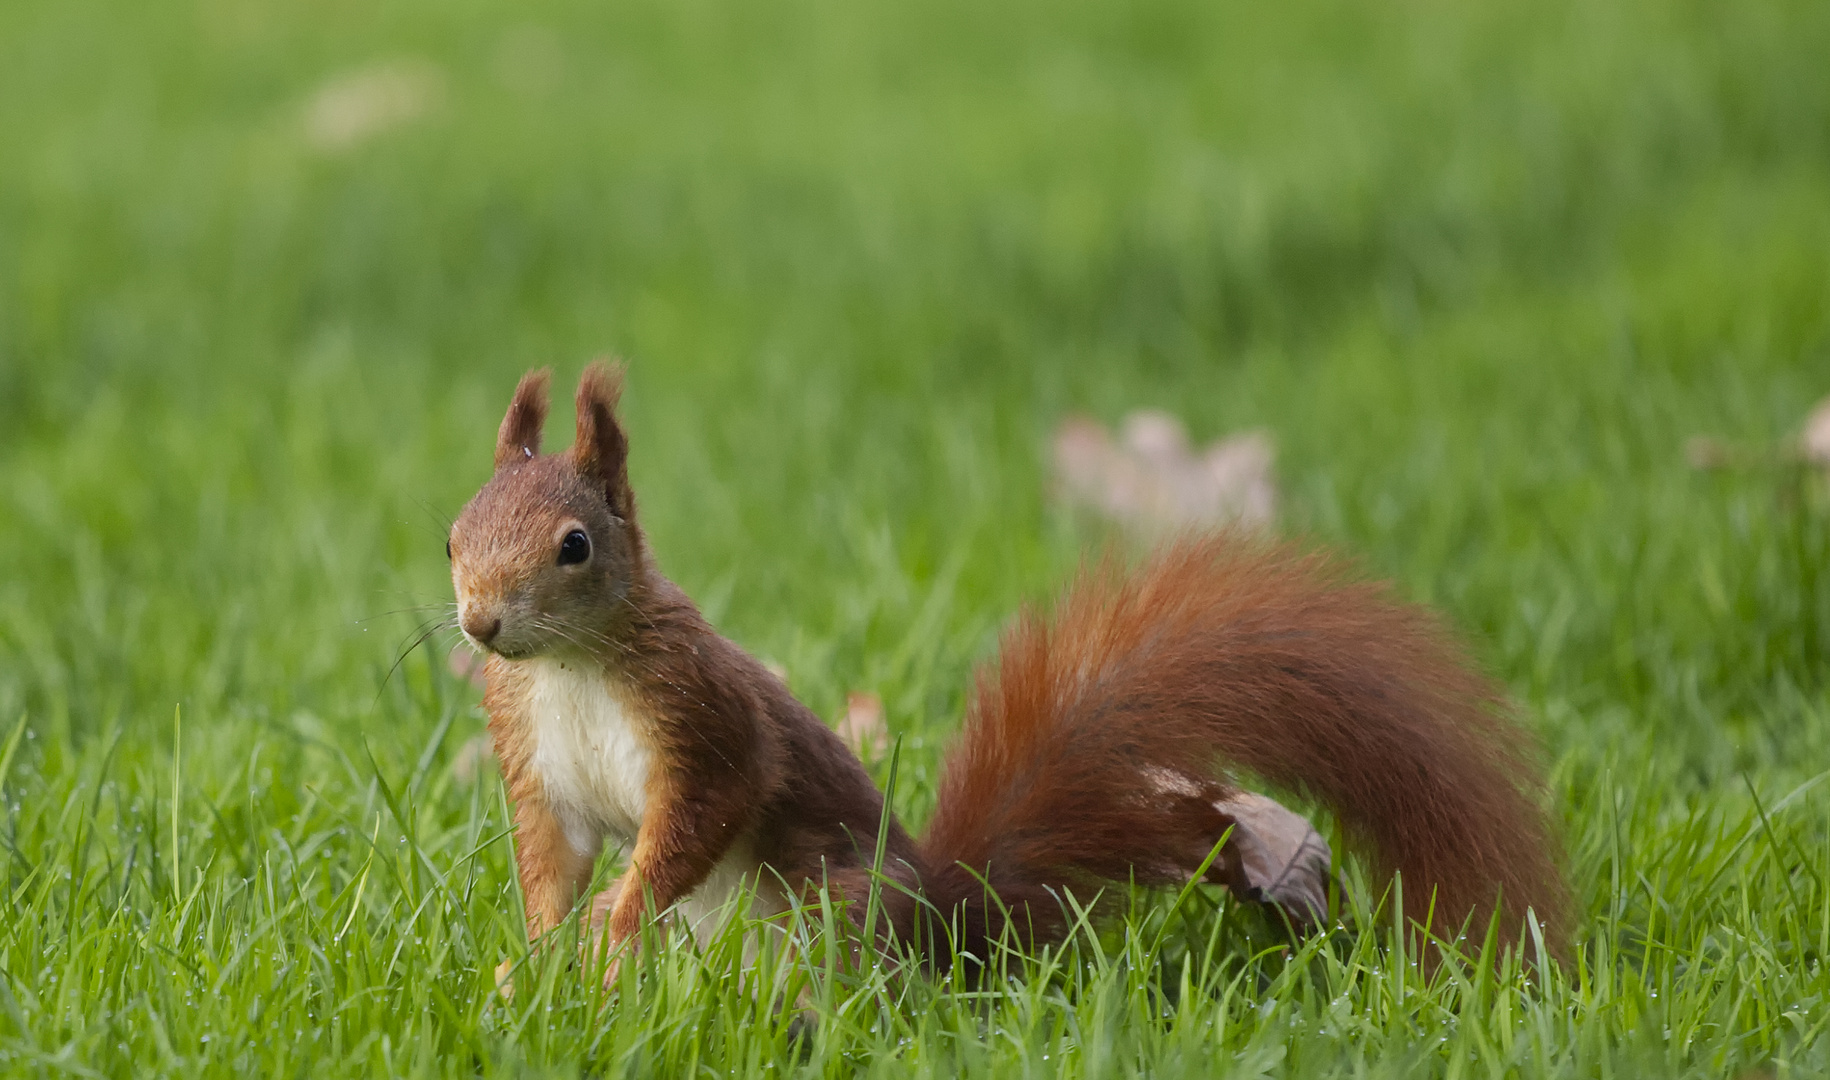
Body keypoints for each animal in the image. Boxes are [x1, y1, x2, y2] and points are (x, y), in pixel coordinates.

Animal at [450, 364, 1566, 981]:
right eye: (454, 534)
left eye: (575, 546)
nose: (479, 623)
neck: (572, 666)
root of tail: (951, 923)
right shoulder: (534, 751)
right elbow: (555, 857)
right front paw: (532, 961)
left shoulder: (703, 716)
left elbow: (703, 813)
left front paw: (613, 921)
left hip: (835, 907)